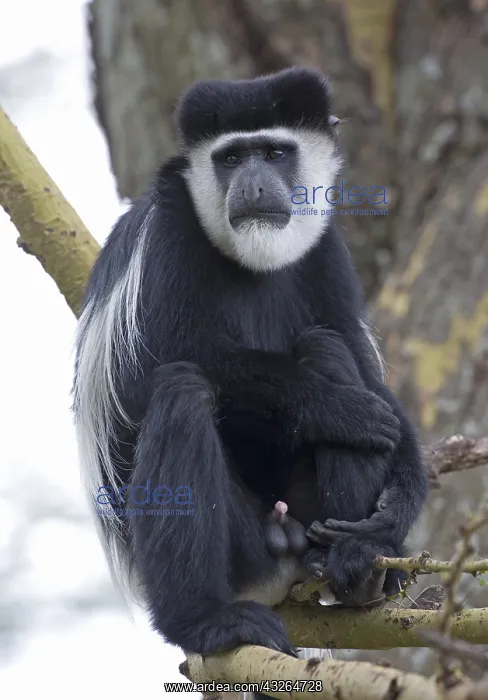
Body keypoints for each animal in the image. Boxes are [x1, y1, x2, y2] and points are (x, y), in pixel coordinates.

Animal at [73, 67, 428, 662]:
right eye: (232, 158)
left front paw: (395, 512)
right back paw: (206, 621)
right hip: (240, 547)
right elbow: (142, 374)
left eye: (274, 152)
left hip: (306, 516)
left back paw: (356, 564)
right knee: (182, 391)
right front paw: (339, 409)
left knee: (326, 346)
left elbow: (365, 370)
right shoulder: (167, 235)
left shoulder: (326, 248)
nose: (255, 184)